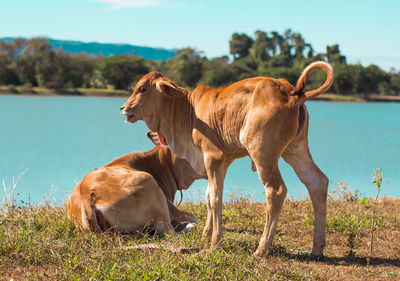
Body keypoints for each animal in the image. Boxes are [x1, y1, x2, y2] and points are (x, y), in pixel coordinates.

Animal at [120, 61, 332, 256]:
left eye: (142, 88)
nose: (124, 108)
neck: (188, 111)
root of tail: (291, 93)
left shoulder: (212, 157)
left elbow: (215, 198)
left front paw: (215, 242)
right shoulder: (223, 160)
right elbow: (208, 196)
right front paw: (206, 234)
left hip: (263, 154)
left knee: (276, 191)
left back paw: (262, 249)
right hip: (295, 150)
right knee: (317, 182)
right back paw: (317, 249)